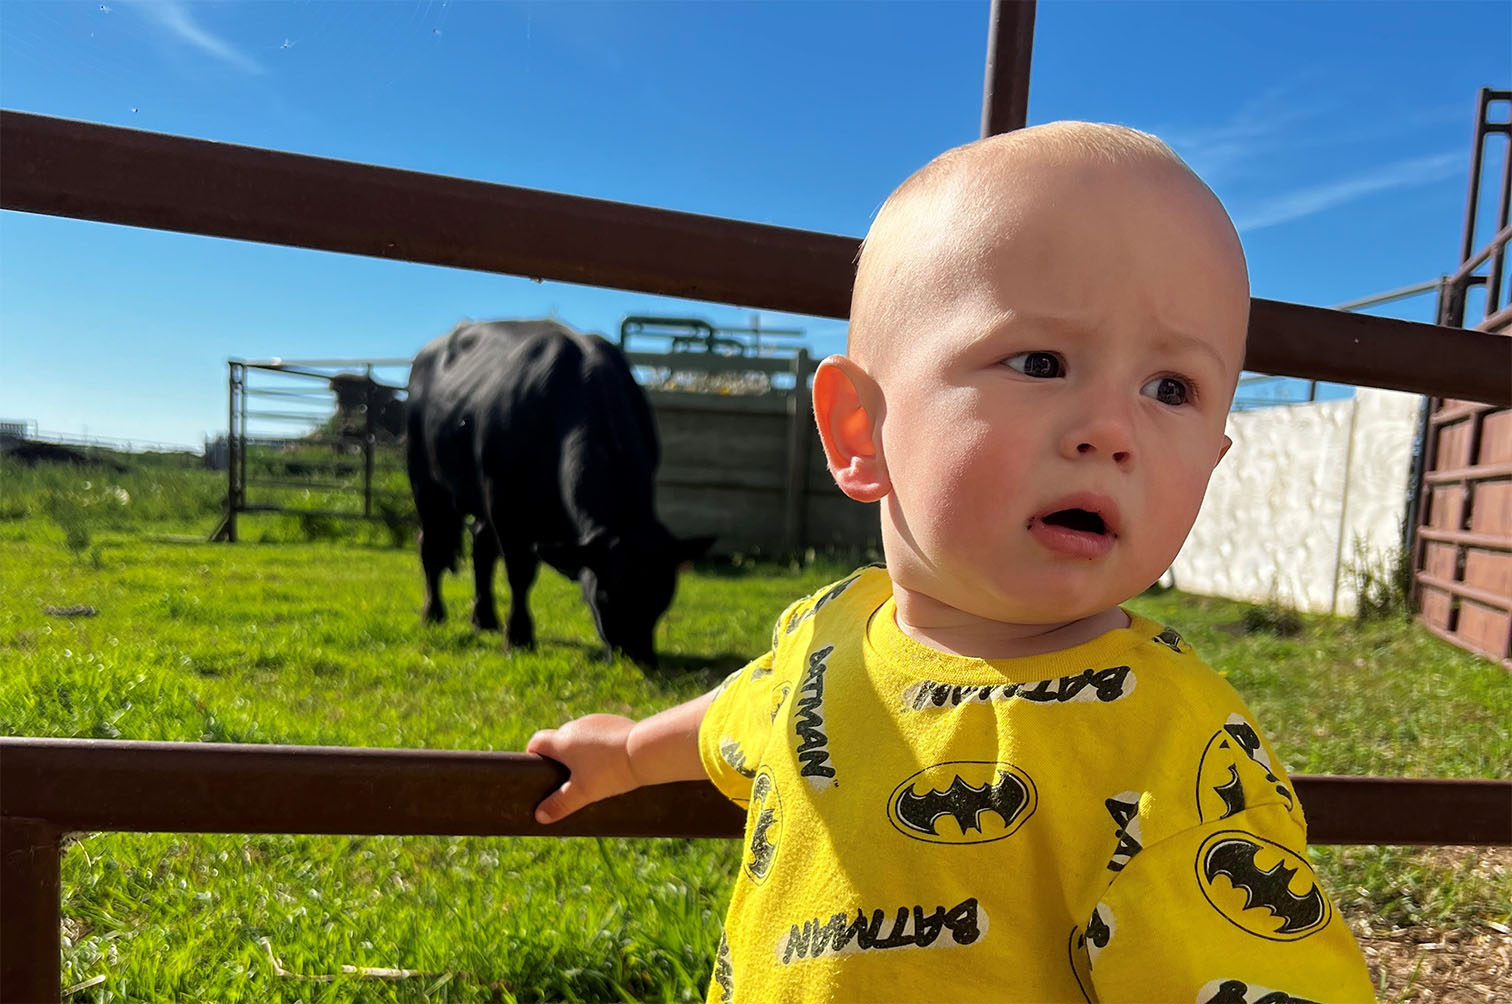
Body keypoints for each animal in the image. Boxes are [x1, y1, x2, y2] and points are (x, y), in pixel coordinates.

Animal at [402, 319, 707, 665]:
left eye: (663, 596)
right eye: (605, 595)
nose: (638, 657)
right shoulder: (507, 505)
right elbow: (520, 573)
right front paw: (518, 637)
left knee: (481, 547)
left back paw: (485, 618)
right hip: (426, 482)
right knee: (431, 545)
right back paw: (433, 614)